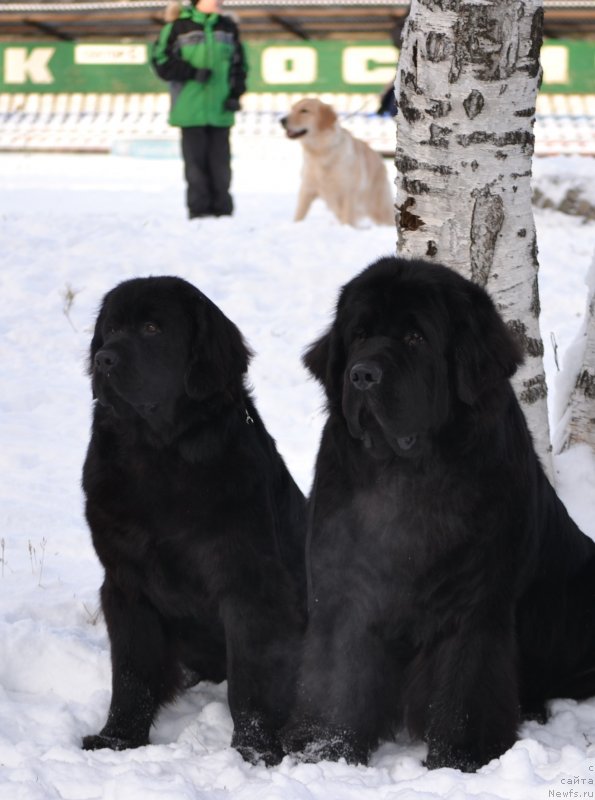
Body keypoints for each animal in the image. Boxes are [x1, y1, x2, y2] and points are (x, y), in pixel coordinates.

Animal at [81, 278, 304, 764]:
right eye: (110, 330)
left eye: (151, 328)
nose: (103, 359)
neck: (157, 454)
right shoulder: (125, 583)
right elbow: (131, 674)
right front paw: (117, 739)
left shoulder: (248, 585)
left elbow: (251, 684)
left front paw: (253, 752)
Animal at [284, 260, 595, 772]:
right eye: (360, 334)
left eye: (416, 338)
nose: (362, 375)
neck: (406, 475)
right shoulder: (345, 587)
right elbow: (340, 674)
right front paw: (326, 750)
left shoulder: (472, 601)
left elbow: (465, 681)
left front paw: (461, 755)